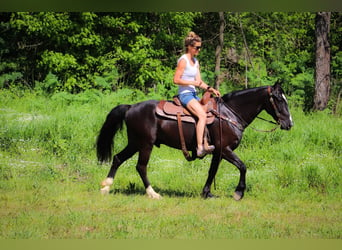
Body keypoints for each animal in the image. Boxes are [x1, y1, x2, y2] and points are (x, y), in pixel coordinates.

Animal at [97, 83, 294, 200]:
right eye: (278, 99)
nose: (289, 123)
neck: (229, 113)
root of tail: (131, 107)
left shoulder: (217, 152)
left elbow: (212, 172)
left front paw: (207, 193)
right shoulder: (225, 149)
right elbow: (242, 166)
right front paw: (238, 192)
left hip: (135, 143)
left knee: (118, 158)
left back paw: (106, 187)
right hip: (145, 144)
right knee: (141, 167)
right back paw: (152, 193)